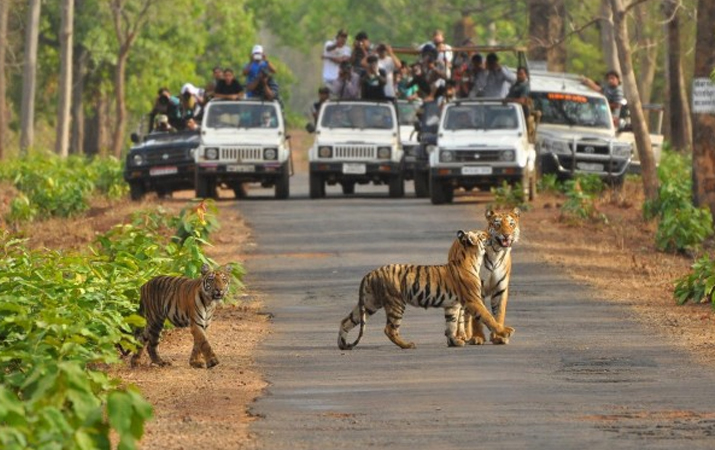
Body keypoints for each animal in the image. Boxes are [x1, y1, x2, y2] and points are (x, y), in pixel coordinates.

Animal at [340, 230, 516, 350]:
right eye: (483, 235)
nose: (492, 234)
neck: (471, 259)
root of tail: (370, 273)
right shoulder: (474, 300)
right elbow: (488, 317)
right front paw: (505, 331)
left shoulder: (452, 305)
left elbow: (451, 325)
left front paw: (454, 342)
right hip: (396, 303)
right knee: (390, 329)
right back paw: (407, 345)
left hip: (369, 303)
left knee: (346, 320)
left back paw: (342, 344)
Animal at [462, 207, 524, 344]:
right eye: (497, 224)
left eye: (511, 224)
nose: (506, 235)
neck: (497, 252)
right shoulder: (477, 289)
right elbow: (478, 316)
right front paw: (477, 337)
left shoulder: (500, 289)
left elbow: (499, 313)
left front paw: (499, 337)